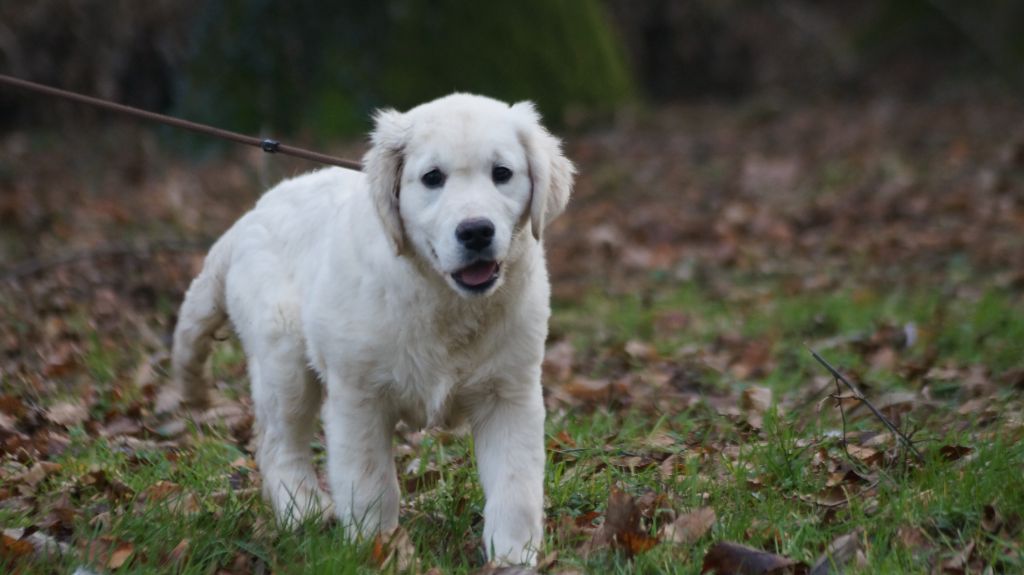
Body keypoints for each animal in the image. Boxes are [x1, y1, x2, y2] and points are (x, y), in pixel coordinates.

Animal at [163, 94, 573, 564]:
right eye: (432, 178)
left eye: (502, 173)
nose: (475, 231)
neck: (443, 299)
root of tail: (248, 219)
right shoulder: (359, 396)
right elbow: (369, 482)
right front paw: (375, 549)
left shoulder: (510, 392)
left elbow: (515, 485)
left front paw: (512, 558)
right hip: (283, 358)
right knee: (276, 443)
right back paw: (302, 510)